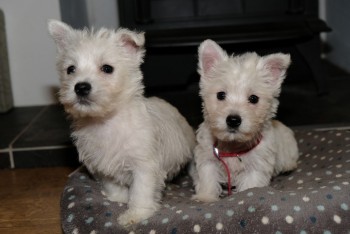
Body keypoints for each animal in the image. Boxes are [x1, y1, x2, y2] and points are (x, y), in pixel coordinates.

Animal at [48, 20, 197, 225]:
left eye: (107, 68)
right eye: (70, 69)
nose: (81, 87)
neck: (106, 120)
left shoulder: (144, 166)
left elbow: (141, 192)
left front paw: (135, 214)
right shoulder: (102, 165)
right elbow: (112, 185)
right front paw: (119, 199)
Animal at [190, 39, 300, 202]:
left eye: (253, 98)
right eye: (221, 95)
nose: (233, 120)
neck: (233, 146)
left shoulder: (256, 167)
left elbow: (251, 185)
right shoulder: (207, 157)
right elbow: (208, 178)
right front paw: (206, 197)